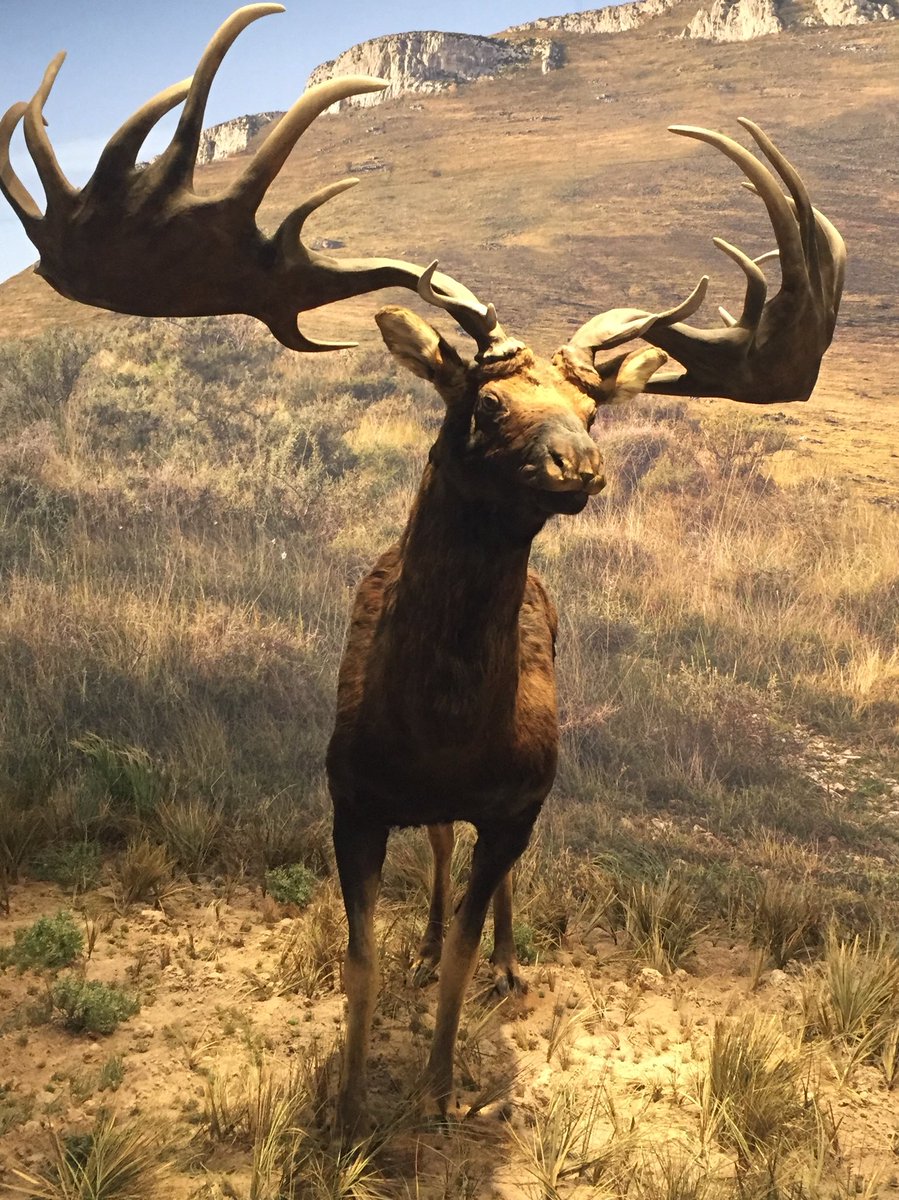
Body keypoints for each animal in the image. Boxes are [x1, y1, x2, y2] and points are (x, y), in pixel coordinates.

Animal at [0, 4, 840, 1137]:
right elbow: (357, 962)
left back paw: (511, 963)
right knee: (436, 856)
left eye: (592, 407)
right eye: (483, 402)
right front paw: (351, 1104)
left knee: (491, 885)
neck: (436, 733)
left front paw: (440, 1091)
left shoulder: (514, 795)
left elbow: (459, 960)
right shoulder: (349, 793)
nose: (581, 466)